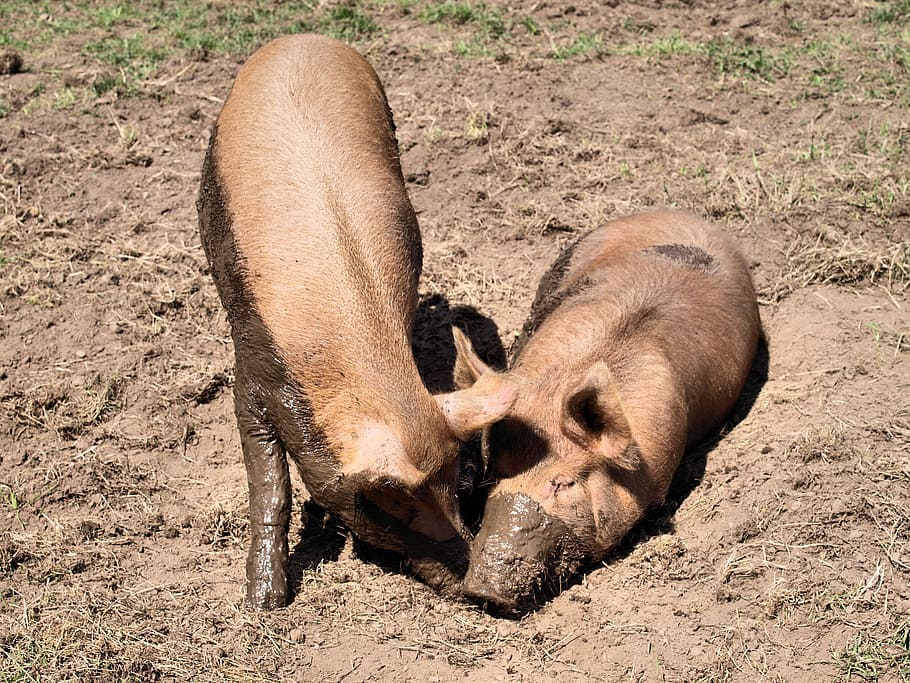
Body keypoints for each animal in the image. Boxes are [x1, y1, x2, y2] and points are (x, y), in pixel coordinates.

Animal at [197, 34, 515, 609]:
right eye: (386, 505)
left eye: (455, 485)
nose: (472, 585)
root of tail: (302, 40)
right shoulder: (253, 368)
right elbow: (269, 481)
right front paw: (264, 604)